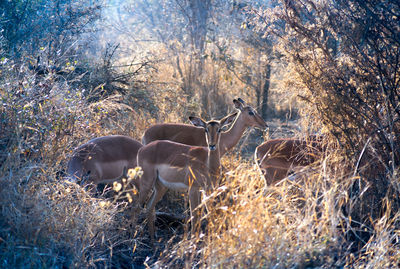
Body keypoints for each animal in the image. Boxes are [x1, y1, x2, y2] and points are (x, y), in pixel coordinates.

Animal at [136, 113, 234, 241]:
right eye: (206, 129)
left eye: (219, 129)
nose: (212, 145)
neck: (207, 164)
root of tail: (142, 149)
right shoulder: (193, 189)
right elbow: (194, 215)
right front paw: (193, 240)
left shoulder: (207, 189)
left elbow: (206, 212)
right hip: (146, 183)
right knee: (136, 207)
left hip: (160, 187)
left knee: (148, 206)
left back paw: (153, 239)